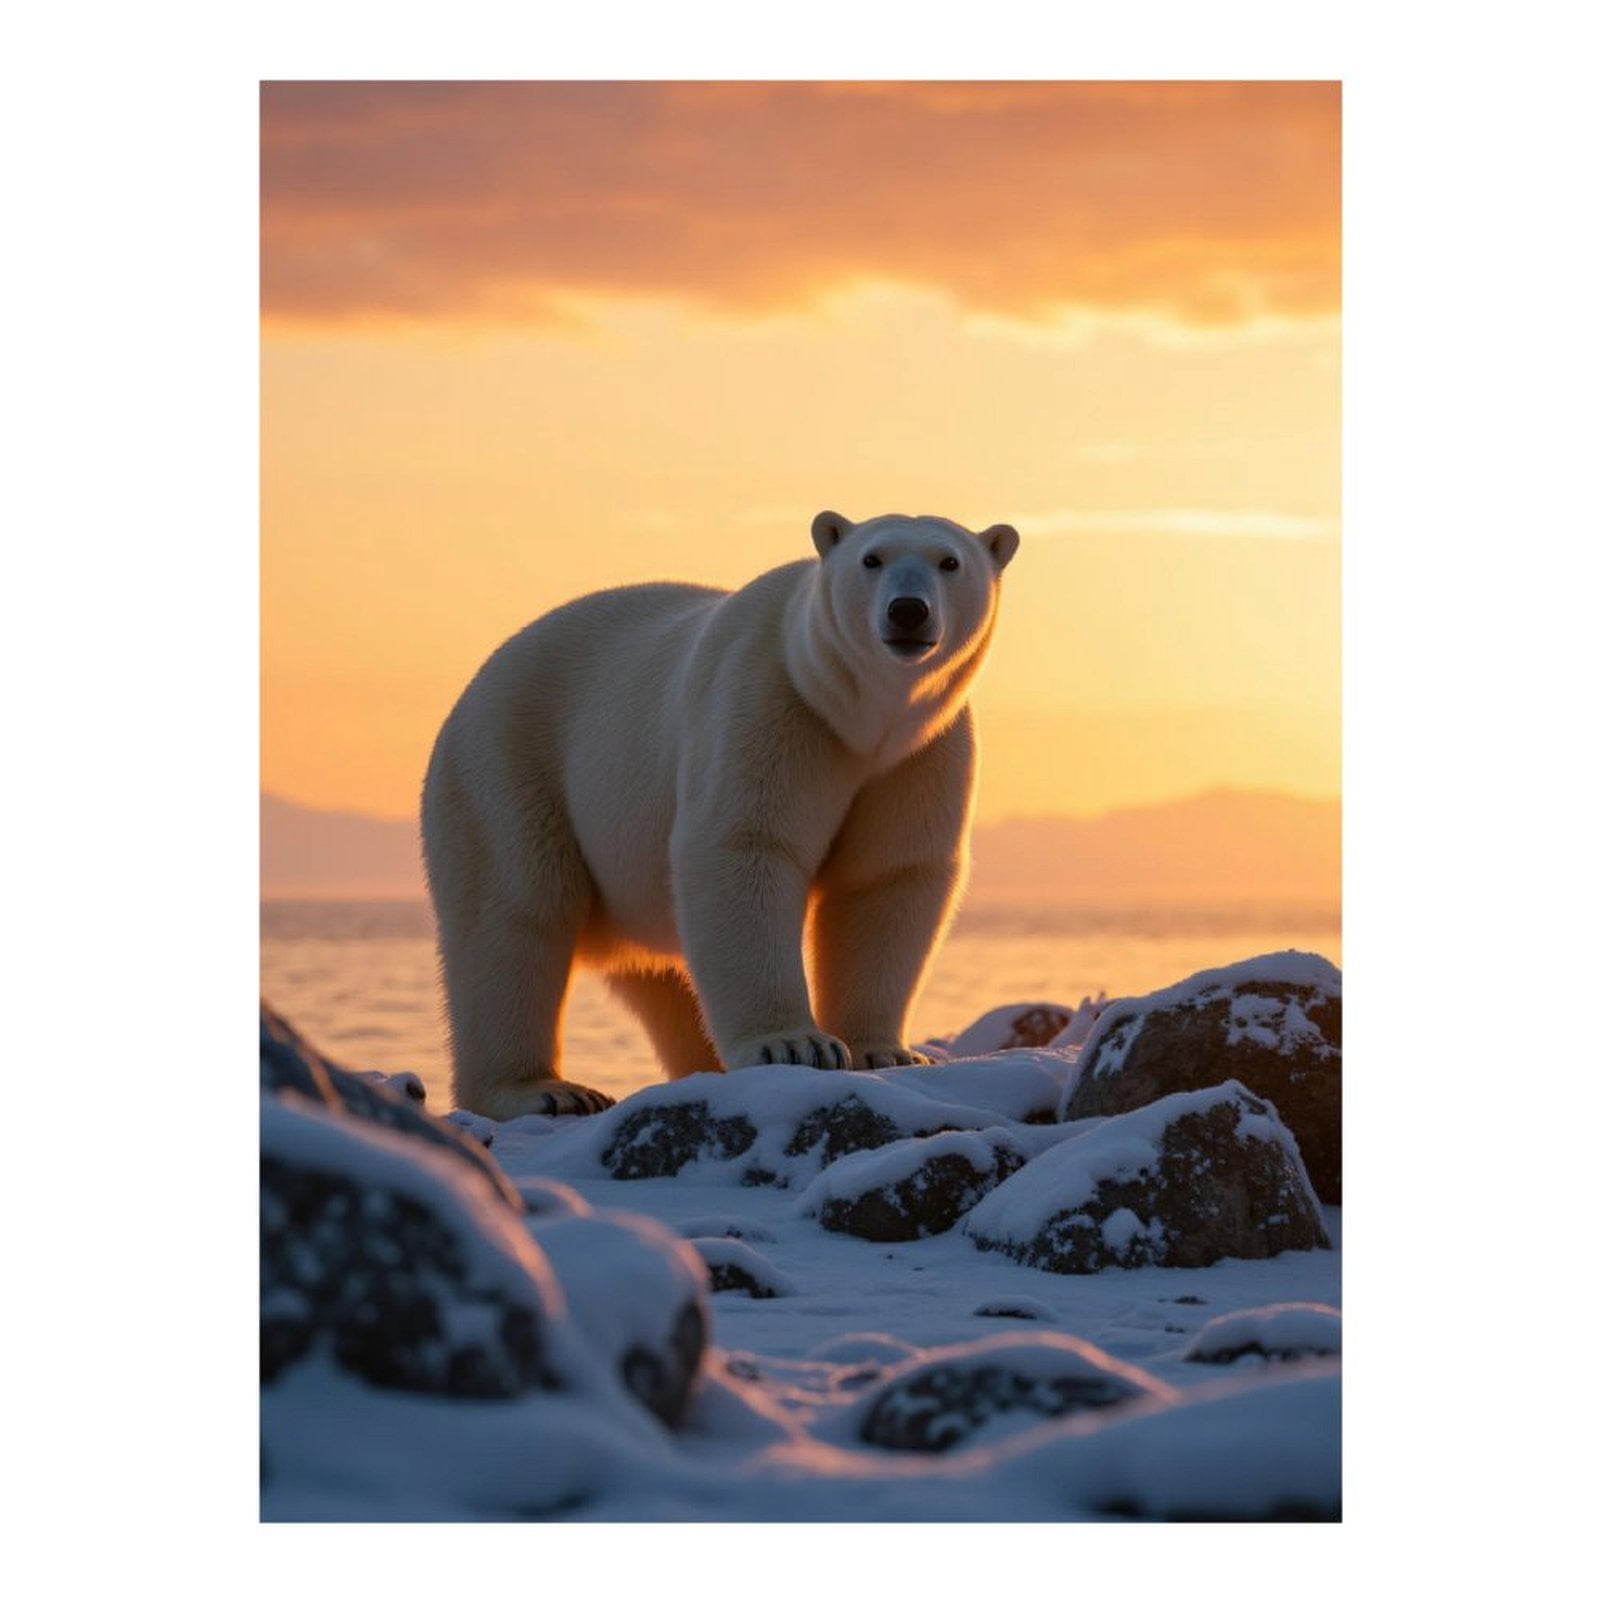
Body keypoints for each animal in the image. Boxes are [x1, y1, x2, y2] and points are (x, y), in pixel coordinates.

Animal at [421, 510, 1020, 1119]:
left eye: (950, 561)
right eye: (871, 559)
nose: (907, 610)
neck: (856, 715)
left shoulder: (921, 752)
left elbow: (886, 877)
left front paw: (885, 1051)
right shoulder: (771, 702)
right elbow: (745, 843)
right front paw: (795, 1043)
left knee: (660, 974)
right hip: (509, 764)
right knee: (514, 913)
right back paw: (544, 1091)